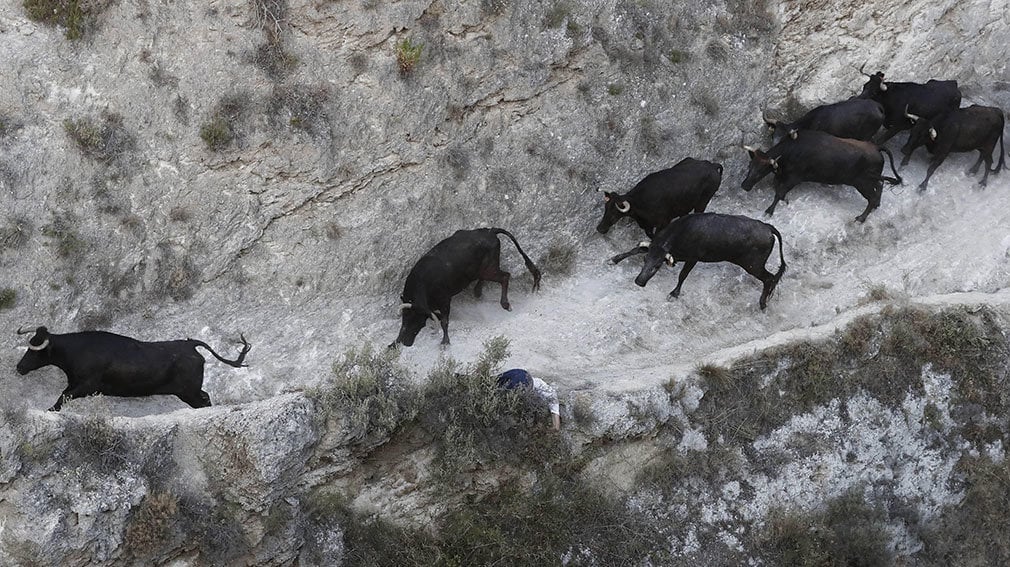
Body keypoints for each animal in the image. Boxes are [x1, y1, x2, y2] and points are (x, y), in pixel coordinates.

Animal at [14, 326, 251, 411]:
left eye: (34, 351)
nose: (19, 367)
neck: (75, 351)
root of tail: (189, 344)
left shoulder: (85, 386)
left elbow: (62, 397)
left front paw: (50, 410)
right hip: (189, 392)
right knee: (206, 397)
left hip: (188, 392)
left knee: (204, 400)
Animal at [393, 228, 541, 347]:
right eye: (405, 319)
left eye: (420, 323)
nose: (406, 343)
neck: (422, 281)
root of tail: (490, 231)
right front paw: (393, 342)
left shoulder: (445, 300)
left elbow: (445, 321)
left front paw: (445, 342)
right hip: (483, 269)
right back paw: (477, 291)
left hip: (489, 269)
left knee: (505, 276)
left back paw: (505, 304)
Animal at [632, 213, 786, 310]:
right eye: (645, 261)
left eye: (657, 266)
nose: (639, 282)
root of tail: (767, 227)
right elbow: (636, 250)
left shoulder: (693, 258)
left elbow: (682, 275)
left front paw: (674, 294)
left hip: (753, 265)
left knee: (770, 278)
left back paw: (762, 304)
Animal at [741, 129, 902, 223]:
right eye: (749, 166)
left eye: (761, 171)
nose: (745, 186)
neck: (791, 150)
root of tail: (876, 147)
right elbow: (777, 187)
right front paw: (783, 200)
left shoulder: (794, 178)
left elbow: (779, 192)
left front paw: (769, 210)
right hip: (871, 180)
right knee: (879, 186)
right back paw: (876, 205)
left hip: (862, 183)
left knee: (872, 197)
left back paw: (861, 218)